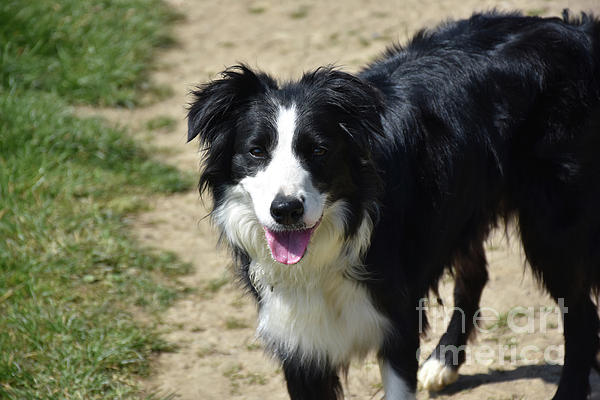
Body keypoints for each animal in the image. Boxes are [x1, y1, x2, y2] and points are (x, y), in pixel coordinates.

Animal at [188, 10, 600, 400]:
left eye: (319, 150)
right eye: (256, 151)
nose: (286, 210)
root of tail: (577, 30)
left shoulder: (397, 320)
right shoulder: (299, 341)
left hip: (552, 223)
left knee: (580, 312)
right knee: (476, 275)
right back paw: (443, 363)